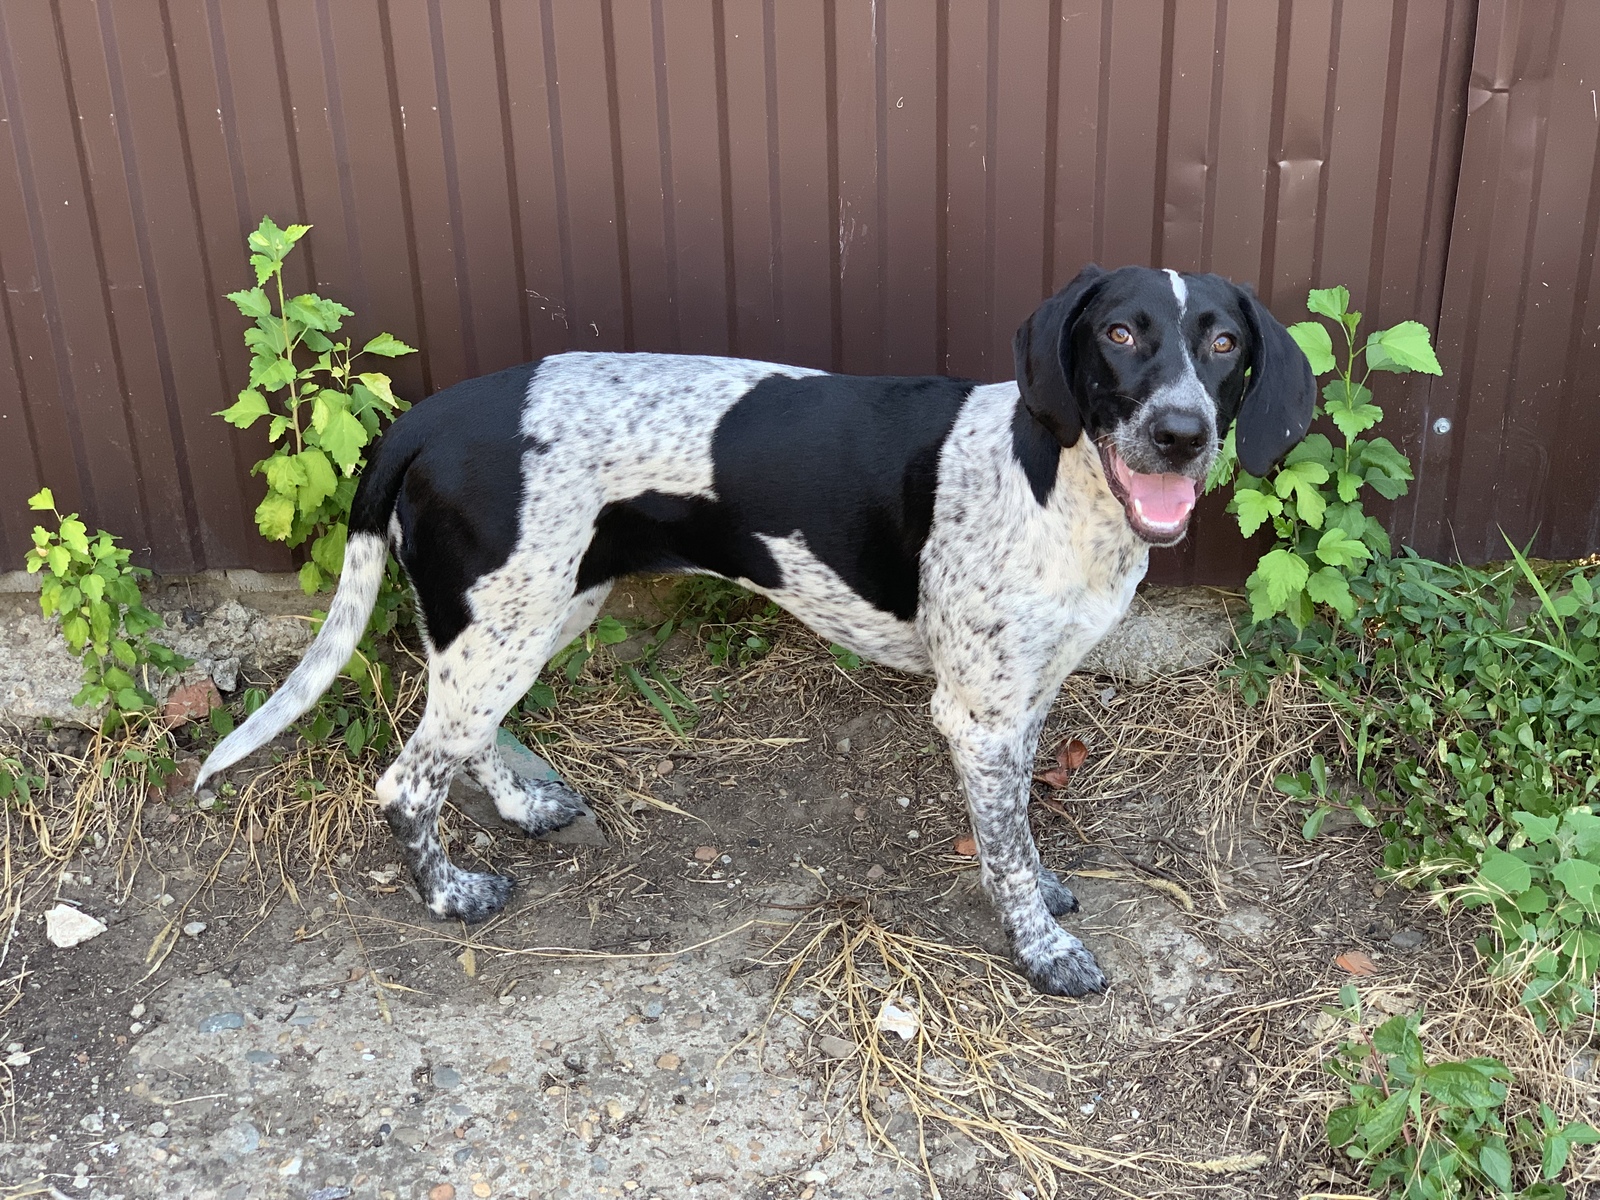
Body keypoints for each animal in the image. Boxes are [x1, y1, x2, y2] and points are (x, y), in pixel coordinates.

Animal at [193, 267, 1312, 998]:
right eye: (1120, 332)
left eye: (1223, 343)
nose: (1181, 432)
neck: (1056, 482)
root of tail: (421, 421)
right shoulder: (977, 716)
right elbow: (1000, 852)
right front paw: (1039, 949)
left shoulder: (1022, 702)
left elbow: (1021, 830)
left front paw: (1041, 888)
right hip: (507, 624)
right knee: (405, 781)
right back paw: (451, 895)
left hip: (524, 616)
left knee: (459, 739)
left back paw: (520, 802)